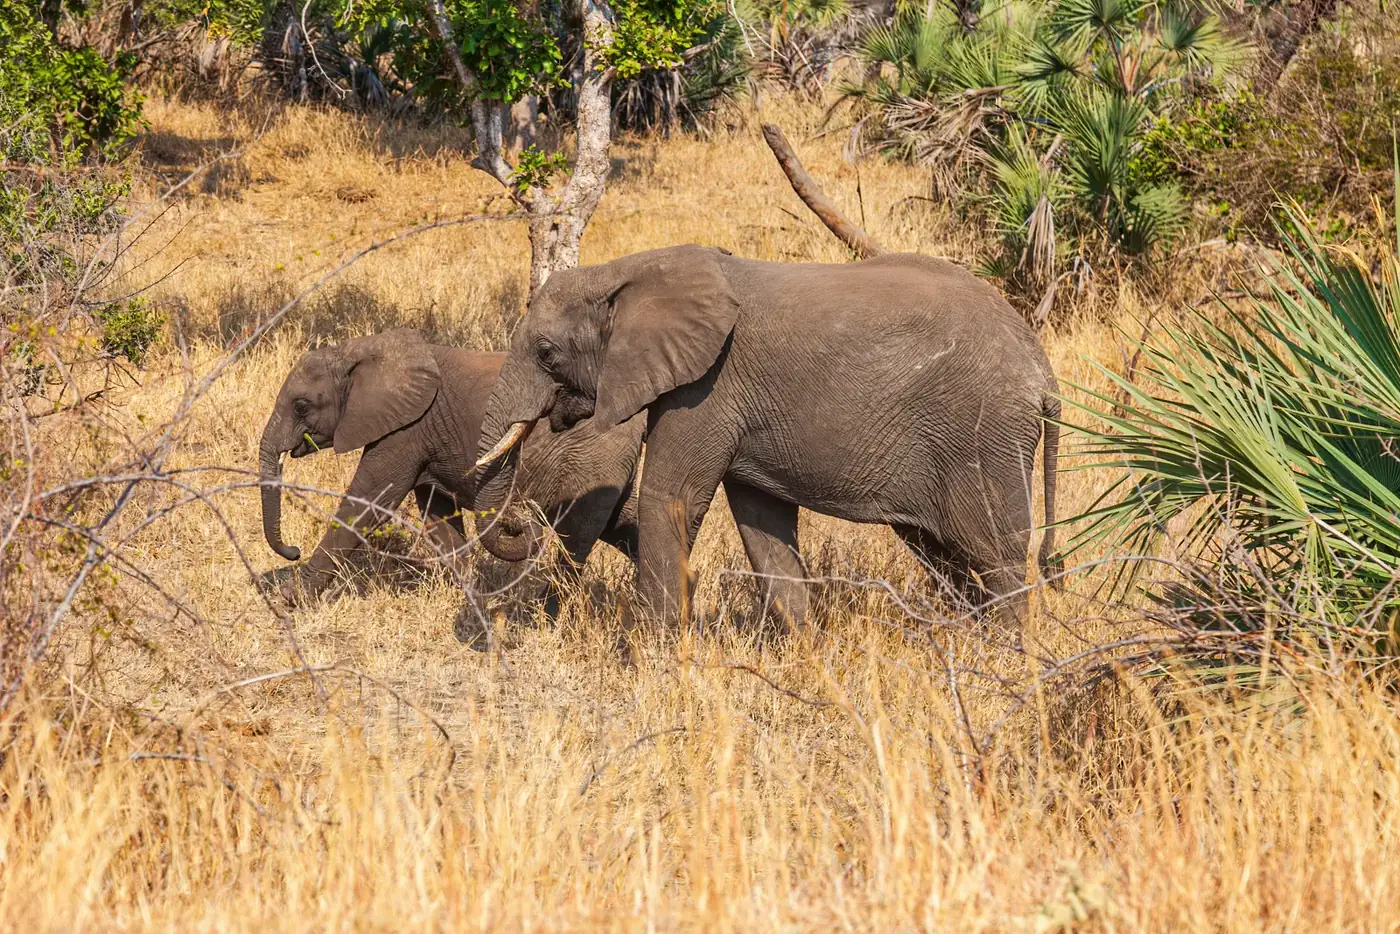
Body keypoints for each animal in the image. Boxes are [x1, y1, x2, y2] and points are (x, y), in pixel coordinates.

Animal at [257, 328, 644, 622]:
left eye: (301, 406)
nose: (292, 551)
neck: (361, 351)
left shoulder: (406, 430)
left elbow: (368, 501)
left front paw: (289, 600)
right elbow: (439, 518)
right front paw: (471, 600)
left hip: (590, 459)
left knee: (573, 540)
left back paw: (544, 618)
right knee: (626, 524)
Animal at [472, 246, 1060, 635]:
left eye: (546, 352)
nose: (522, 522)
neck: (627, 270)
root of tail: (1042, 370)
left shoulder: (708, 387)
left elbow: (671, 498)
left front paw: (649, 660)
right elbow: (762, 524)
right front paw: (805, 653)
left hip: (980, 436)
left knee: (995, 556)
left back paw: (1010, 661)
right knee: (946, 556)